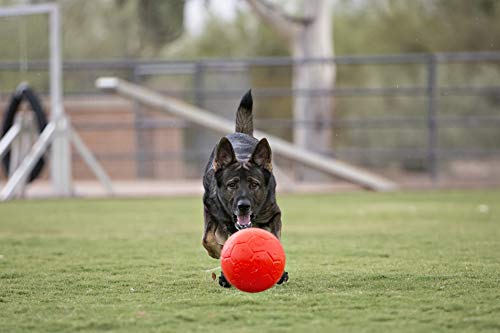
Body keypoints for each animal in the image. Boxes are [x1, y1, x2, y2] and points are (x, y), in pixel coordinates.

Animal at [202, 91, 288, 288]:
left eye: (254, 184)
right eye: (232, 185)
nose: (243, 206)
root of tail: (239, 133)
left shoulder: (274, 214)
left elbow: (275, 239)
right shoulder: (210, 210)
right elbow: (208, 240)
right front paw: (221, 255)